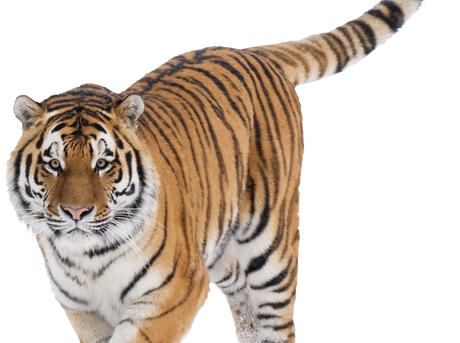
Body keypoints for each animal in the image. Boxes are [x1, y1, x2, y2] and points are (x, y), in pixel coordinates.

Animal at [8, 0, 424, 343]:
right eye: (54, 164)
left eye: (103, 163)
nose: (76, 213)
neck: (88, 258)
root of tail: (250, 51)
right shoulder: (83, 309)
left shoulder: (175, 291)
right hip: (220, 248)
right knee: (245, 306)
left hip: (271, 246)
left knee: (278, 320)